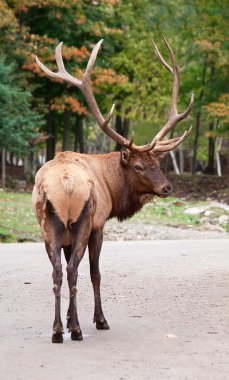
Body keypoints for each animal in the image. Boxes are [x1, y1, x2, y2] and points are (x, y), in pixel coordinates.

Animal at [31, 37, 193, 342]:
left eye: (158, 162)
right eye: (139, 166)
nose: (166, 188)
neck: (110, 186)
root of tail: (66, 183)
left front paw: (69, 319)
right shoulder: (99, 223)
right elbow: (95, 273)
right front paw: (98, 319)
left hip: (49, 226)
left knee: (58, 271)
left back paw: (58, 330)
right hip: (83, 221)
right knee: (73, 270)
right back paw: (78, 329)